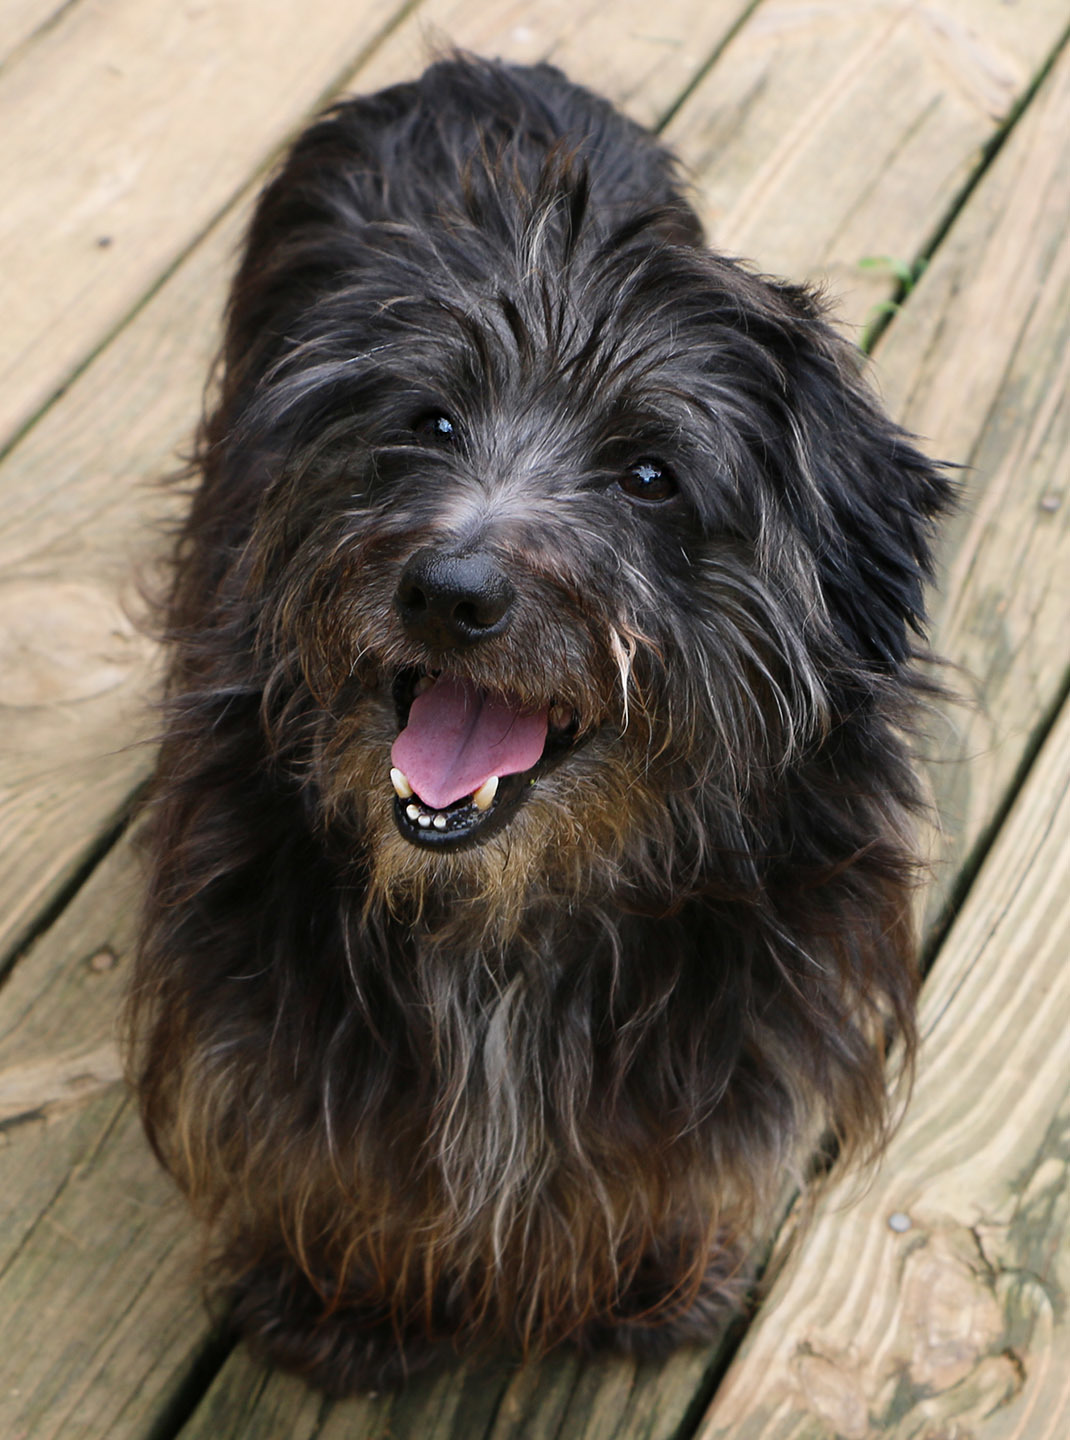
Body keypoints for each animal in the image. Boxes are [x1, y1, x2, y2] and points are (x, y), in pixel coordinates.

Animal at [127, 50, 956, 1388]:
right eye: (428, 423)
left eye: (650, 476)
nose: (446, 591)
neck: (503, 922)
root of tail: (477, 64)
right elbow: (322, 1146)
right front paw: (343, 1299)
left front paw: (639, 1277)